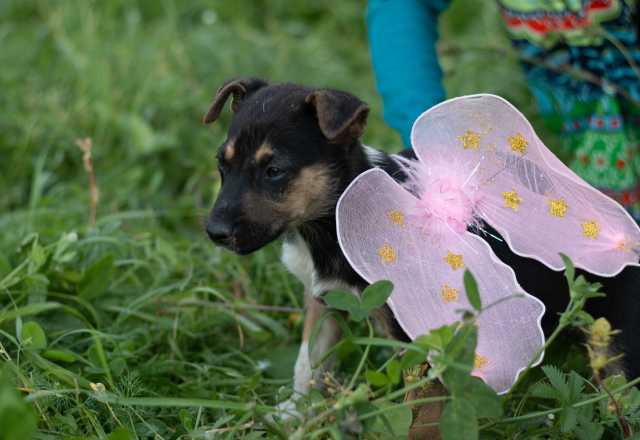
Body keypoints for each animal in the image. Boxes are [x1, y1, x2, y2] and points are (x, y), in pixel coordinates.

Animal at [204, 78, 640, 416]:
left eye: (274, 171)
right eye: (221, 166)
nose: (214, 233)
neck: (331, 221)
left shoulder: (413, 336)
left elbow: (414, 402)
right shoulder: (323, 300)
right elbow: (307, 364)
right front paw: (293, 415)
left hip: (616, 342)